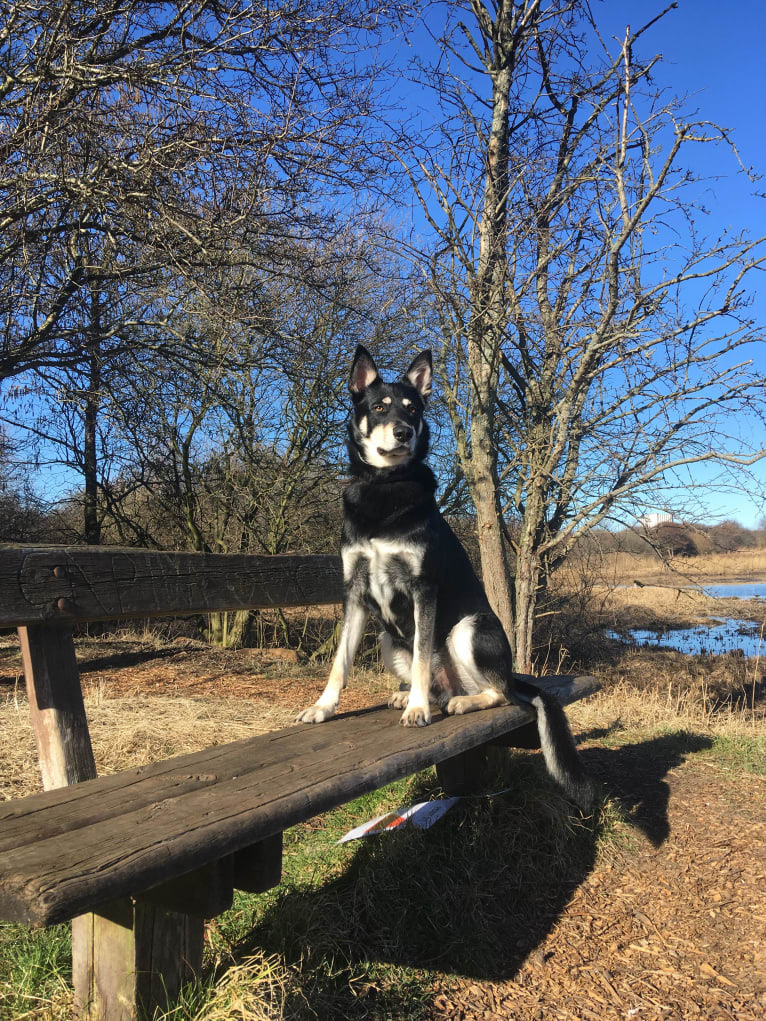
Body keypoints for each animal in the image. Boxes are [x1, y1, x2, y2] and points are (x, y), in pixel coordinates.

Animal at [296, 347, 600, 808]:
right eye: (380, 407)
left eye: (413, 408)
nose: (403, 433)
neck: (385, 486)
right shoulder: (355, 593)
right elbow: (339, 662)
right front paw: (324, 707)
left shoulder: (424, 589)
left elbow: (423, 656)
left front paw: (418, 710)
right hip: (388, 641)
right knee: (442, 680)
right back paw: (412, 694)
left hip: (468, 630)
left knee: (500, 694)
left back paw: (456, 702)